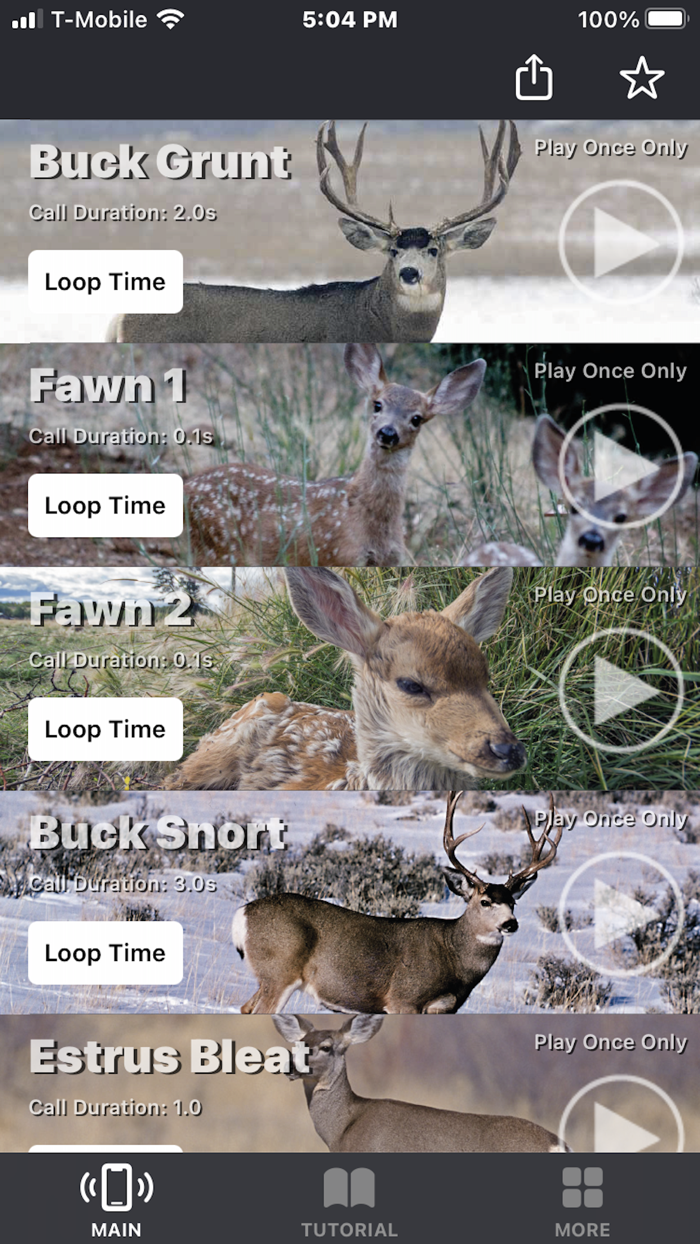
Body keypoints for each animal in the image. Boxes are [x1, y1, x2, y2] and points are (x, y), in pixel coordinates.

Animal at [184, 343, 486, 565]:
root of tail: (187, 485)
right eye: (377, 404)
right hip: (219, 546)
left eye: (417, 419)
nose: (388, 433)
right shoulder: (341, 553)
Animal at [233, 792, 561, 1014]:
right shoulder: (404, 999)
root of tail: (242, 914)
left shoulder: (444, 1008)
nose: (510, 924)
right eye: (484, 901)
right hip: (279, 971)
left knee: (245, 1008)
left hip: (268, 977)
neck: (454, 959)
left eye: (513, 903)